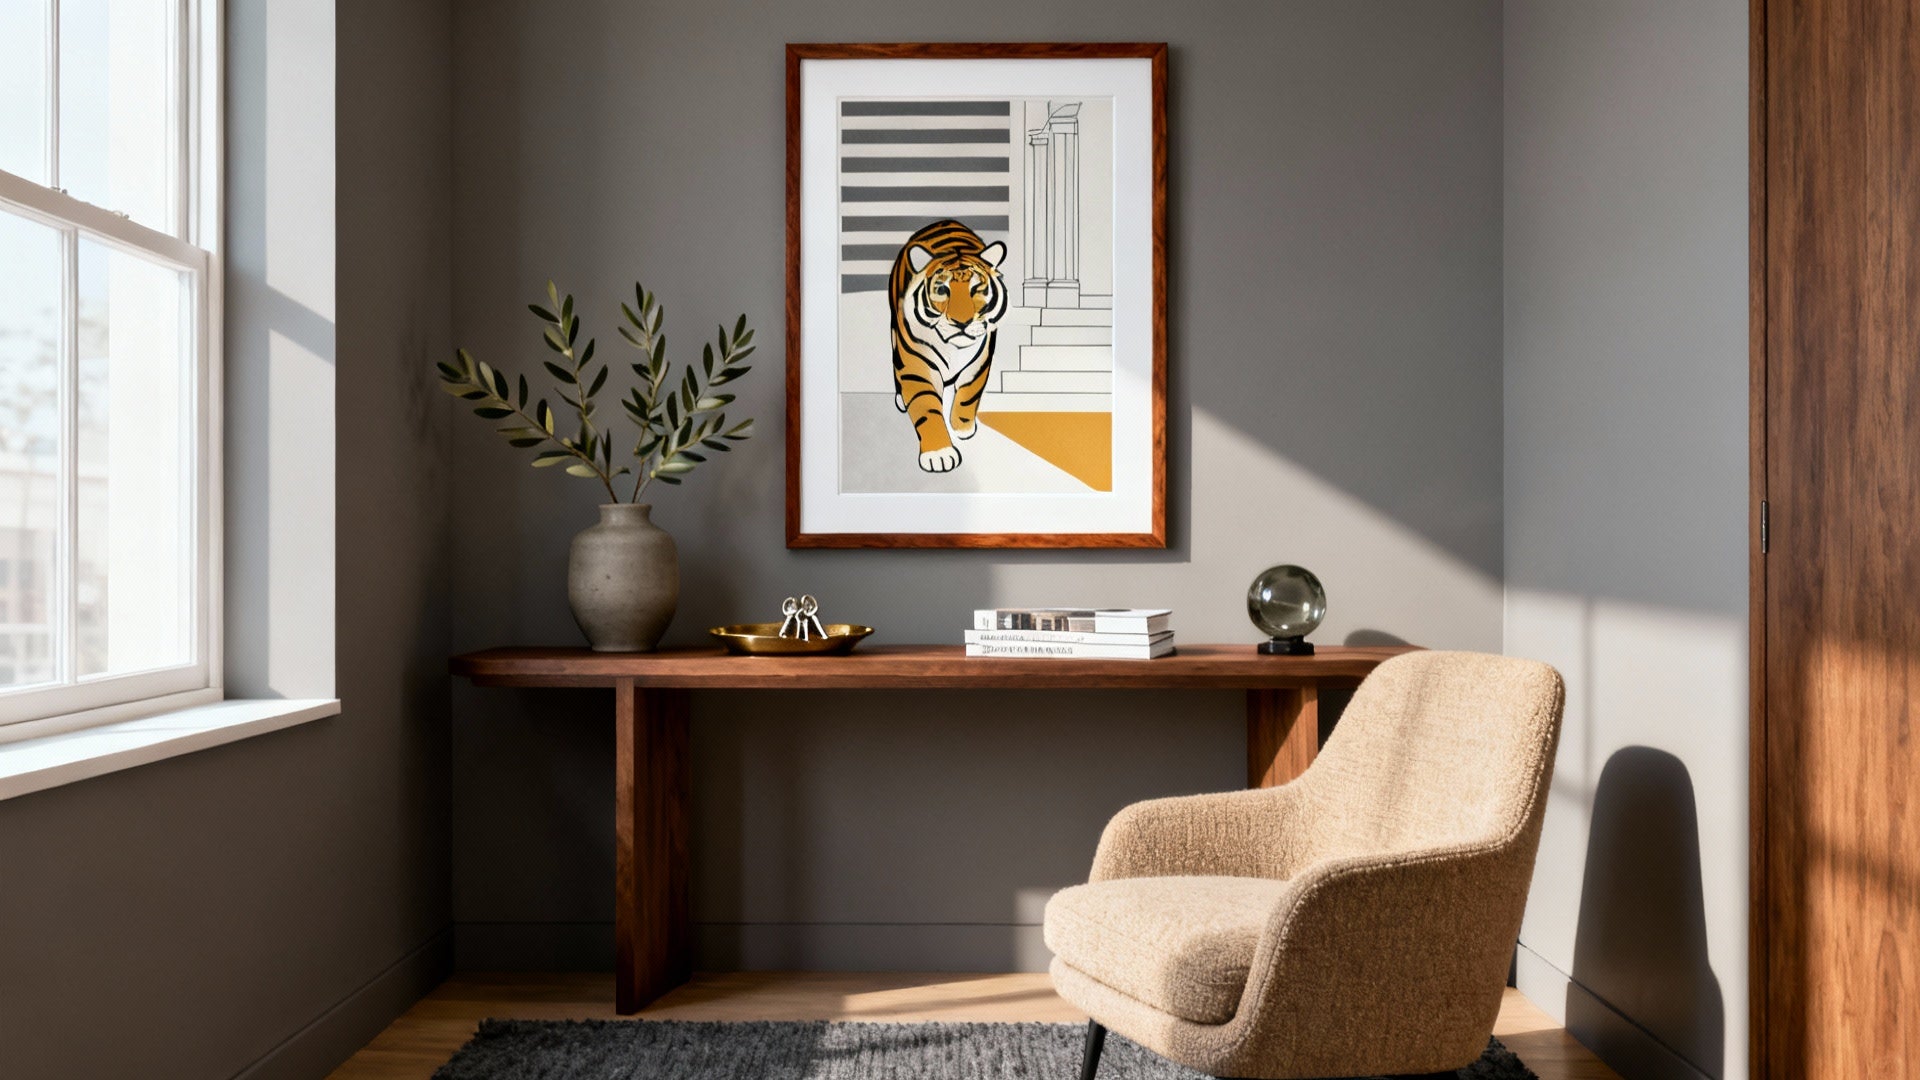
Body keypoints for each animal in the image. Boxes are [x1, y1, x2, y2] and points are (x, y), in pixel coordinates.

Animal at [887, 219, 1008, 472]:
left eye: (976, 289)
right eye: (943, 290)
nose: (962, 322)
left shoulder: (981, 359)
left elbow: (969, 393)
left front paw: (962, 428)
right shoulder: (916, 367)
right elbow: (927, 409)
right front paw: (939, 454)